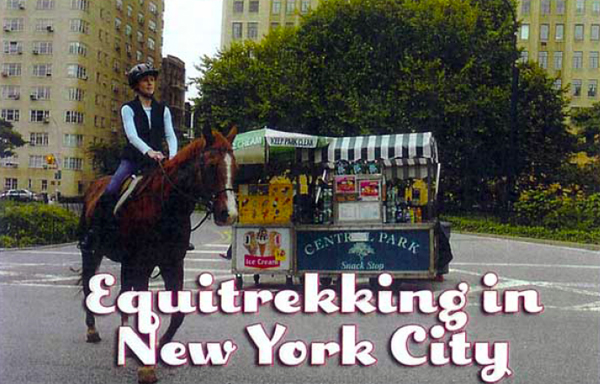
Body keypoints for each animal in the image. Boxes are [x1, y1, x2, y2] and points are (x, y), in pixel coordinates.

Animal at [79, 127, 237, 382]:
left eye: (236, 167)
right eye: (212, 165)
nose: (228, 214)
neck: (167, 205)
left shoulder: (172, 263)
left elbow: (178, 313)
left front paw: (158, 347)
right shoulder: (143, 264)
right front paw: (146, 366)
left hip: (127, 262)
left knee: (124, 292)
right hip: (91, 252)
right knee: (87, 284)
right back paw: (92, 330)